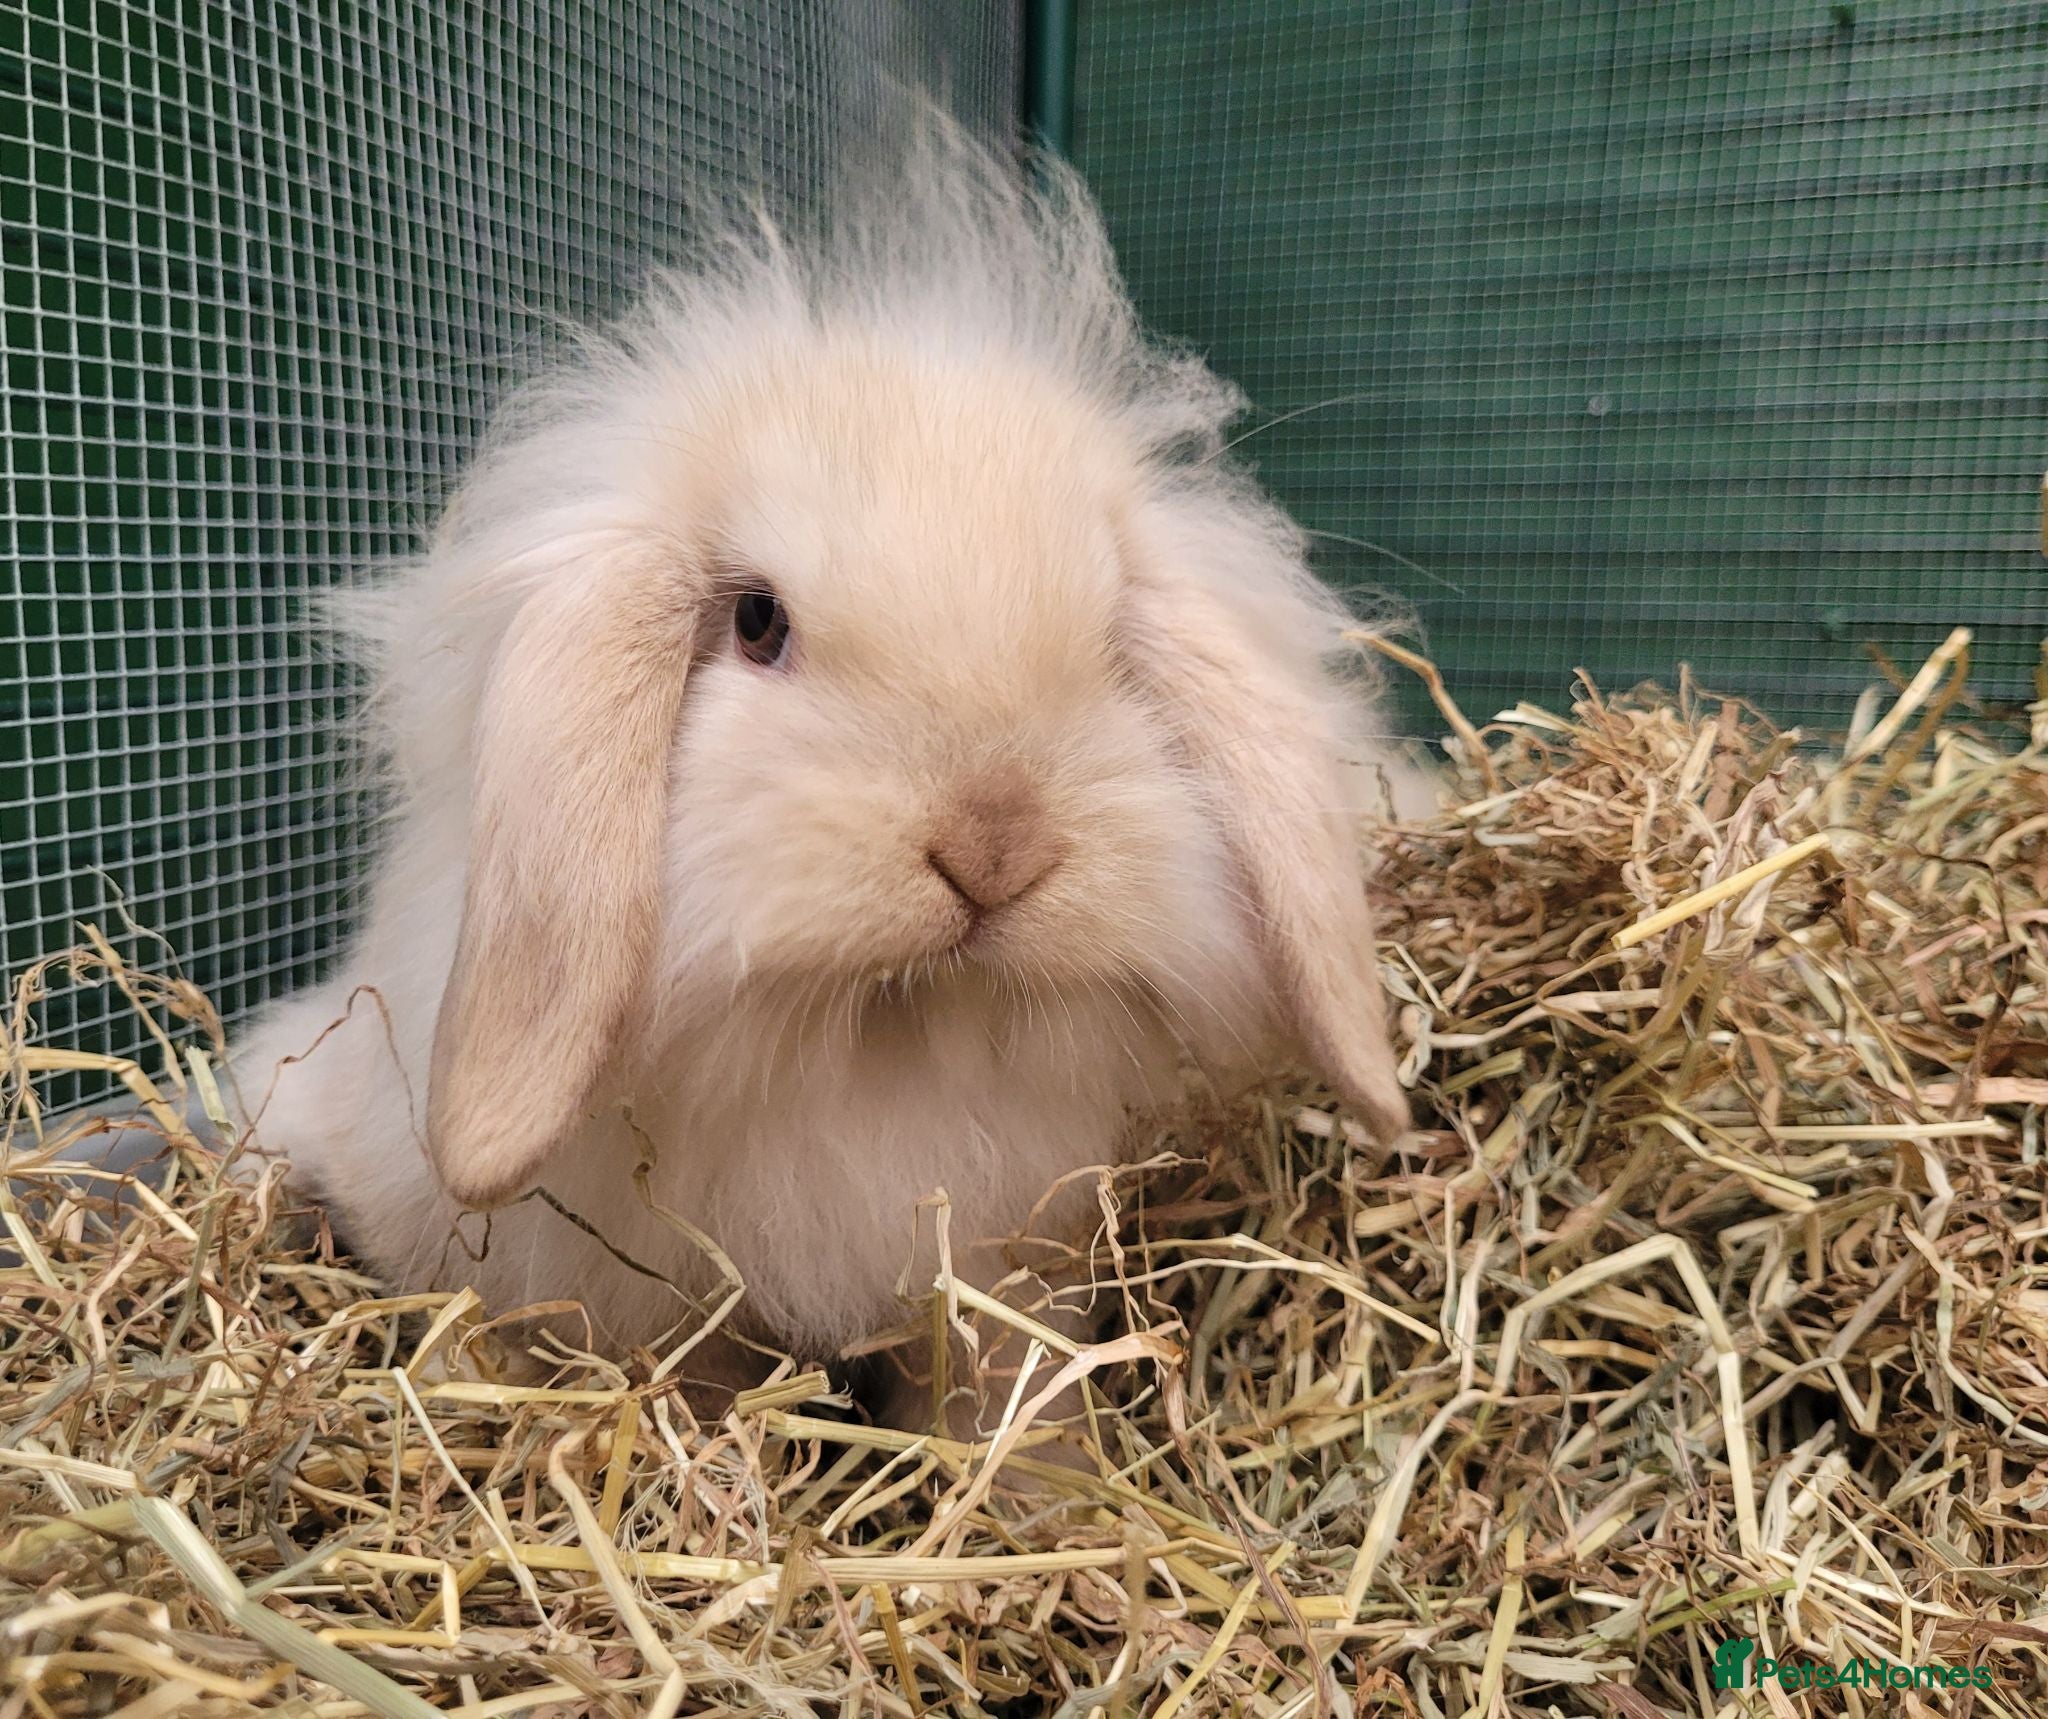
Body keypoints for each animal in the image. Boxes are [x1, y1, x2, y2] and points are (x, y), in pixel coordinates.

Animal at [222, 124, 1415, 1426]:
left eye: (1109, 646)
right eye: (756, 621)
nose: (993, 846)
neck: (886, 1033)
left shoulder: (1007, 1281)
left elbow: (1000, 1405)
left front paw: (1039, 1473)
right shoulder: (664, 1307)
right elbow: (698, 1398)